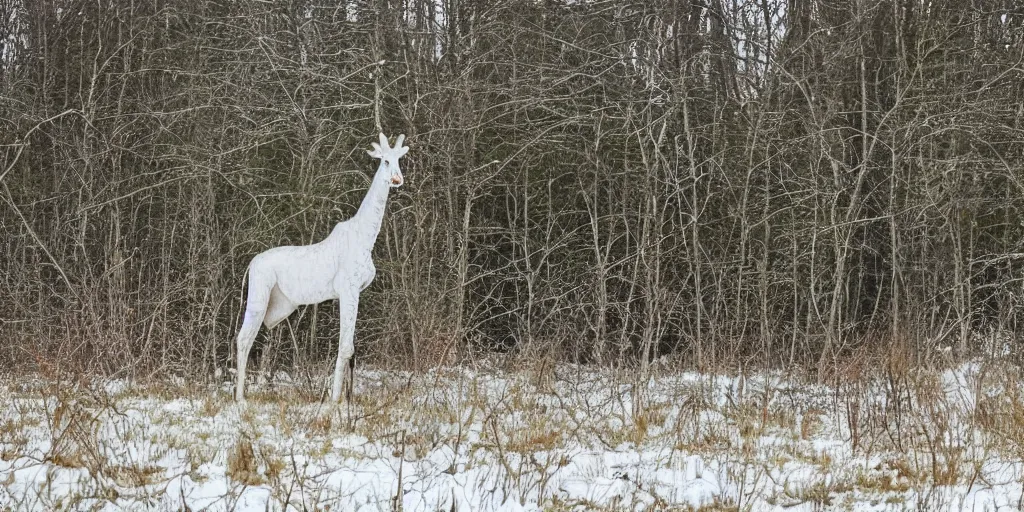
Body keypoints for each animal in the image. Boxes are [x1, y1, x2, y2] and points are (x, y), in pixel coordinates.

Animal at [233, 133, 407, 403]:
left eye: (400, 160)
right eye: (385, 161)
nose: (398, 180)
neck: (366, 239)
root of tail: (251, 264)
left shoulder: (356, 291)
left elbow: (351, 347)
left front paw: (347, 397)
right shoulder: (347, 289)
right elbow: (344, 347)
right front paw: (335, 400)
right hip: (258, 295)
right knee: (243, 338)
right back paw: (240, 397)